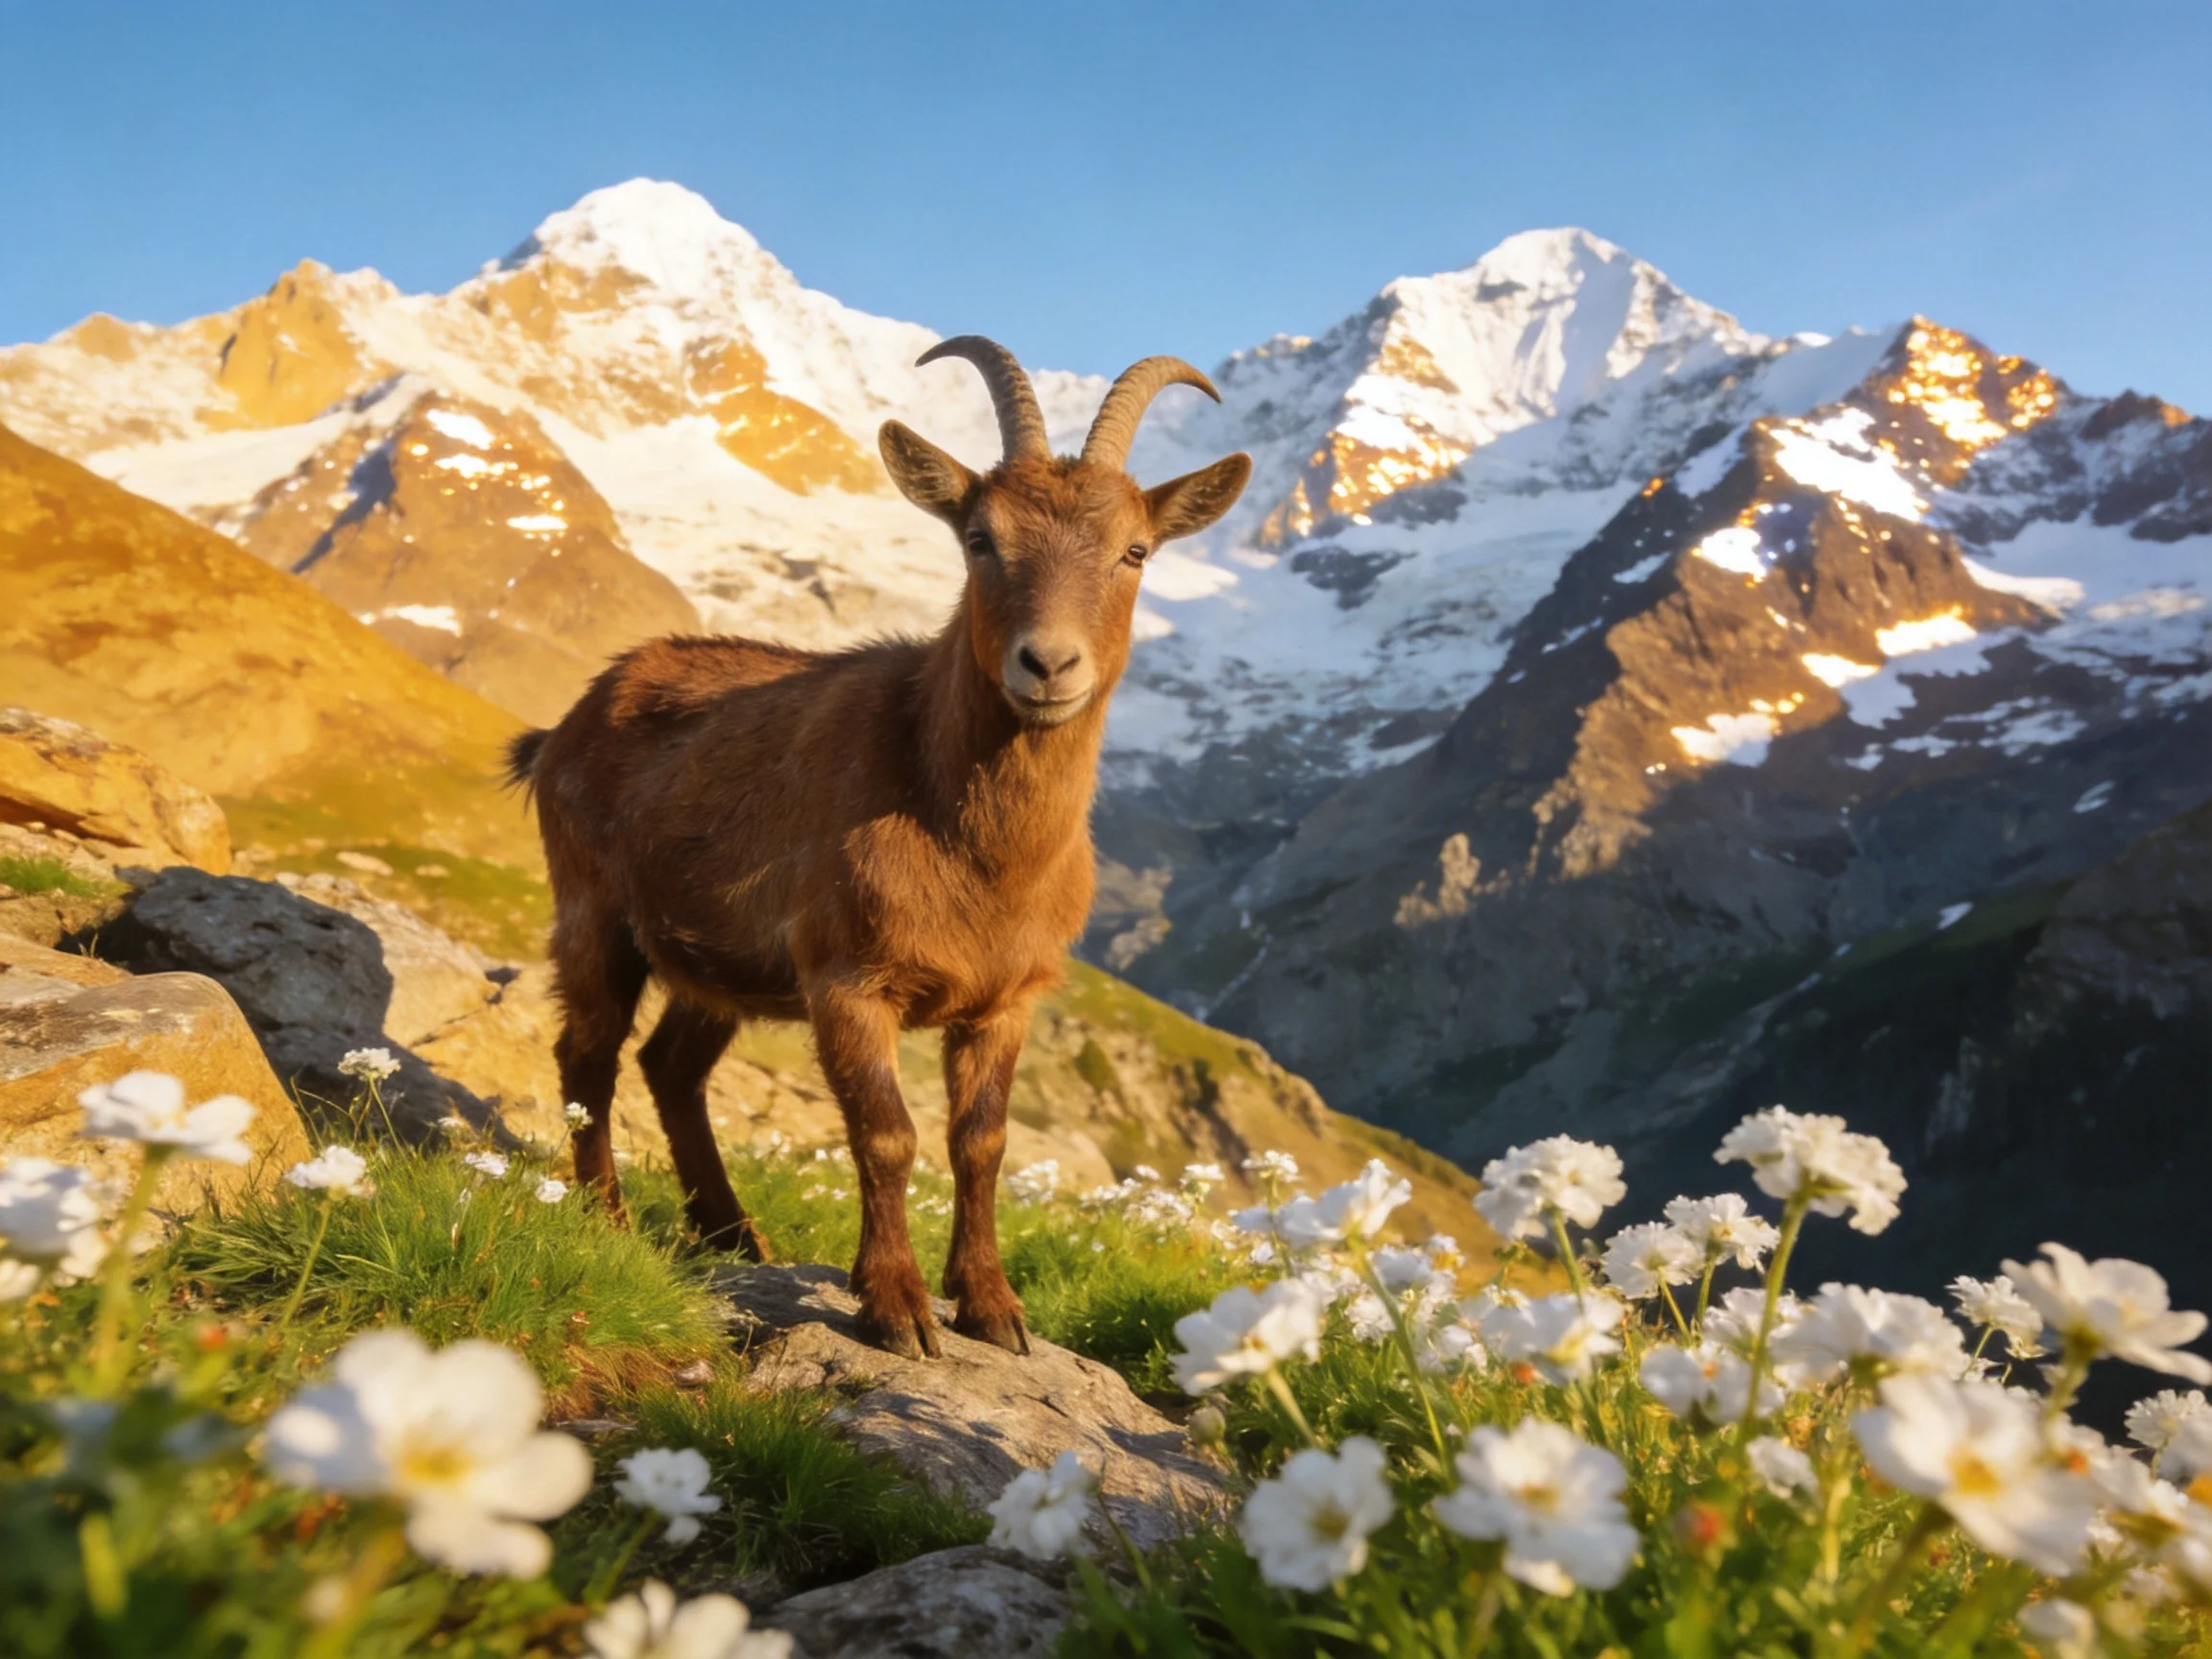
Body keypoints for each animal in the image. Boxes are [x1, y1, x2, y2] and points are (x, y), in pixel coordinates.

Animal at [507, 337, 1250, 1357]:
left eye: (1135, 550)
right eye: (980, 540)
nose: (1048, 664)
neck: (974, 847)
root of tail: (567, 724)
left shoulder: (1006, 1001)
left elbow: (981, 1141)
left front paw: (992, 1305)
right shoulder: (848, 979)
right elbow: (887, 1133)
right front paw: (896, 1306)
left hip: (723, 962)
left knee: (671, 1065)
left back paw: (732, 1234)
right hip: (595, 916)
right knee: (589, 1057)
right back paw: (610, 1223)